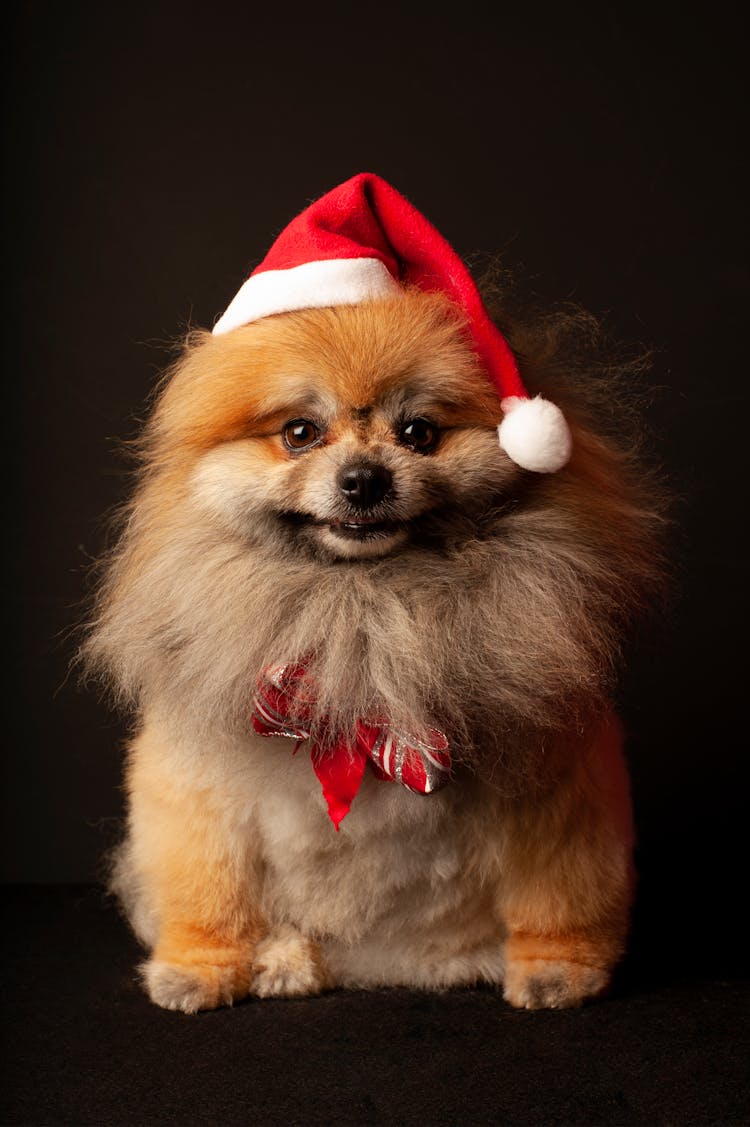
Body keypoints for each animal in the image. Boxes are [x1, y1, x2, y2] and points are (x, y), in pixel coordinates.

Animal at [83, 173, 667, 1014]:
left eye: (419, 432)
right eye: (300, 433)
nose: (364, 479)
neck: (366, 619)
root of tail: (379, 964)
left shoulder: (557, 793)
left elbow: (557, 899)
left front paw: (558, 971)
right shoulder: (200, 795)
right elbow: (208, 896)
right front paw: (198, 970)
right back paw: (284, 960)